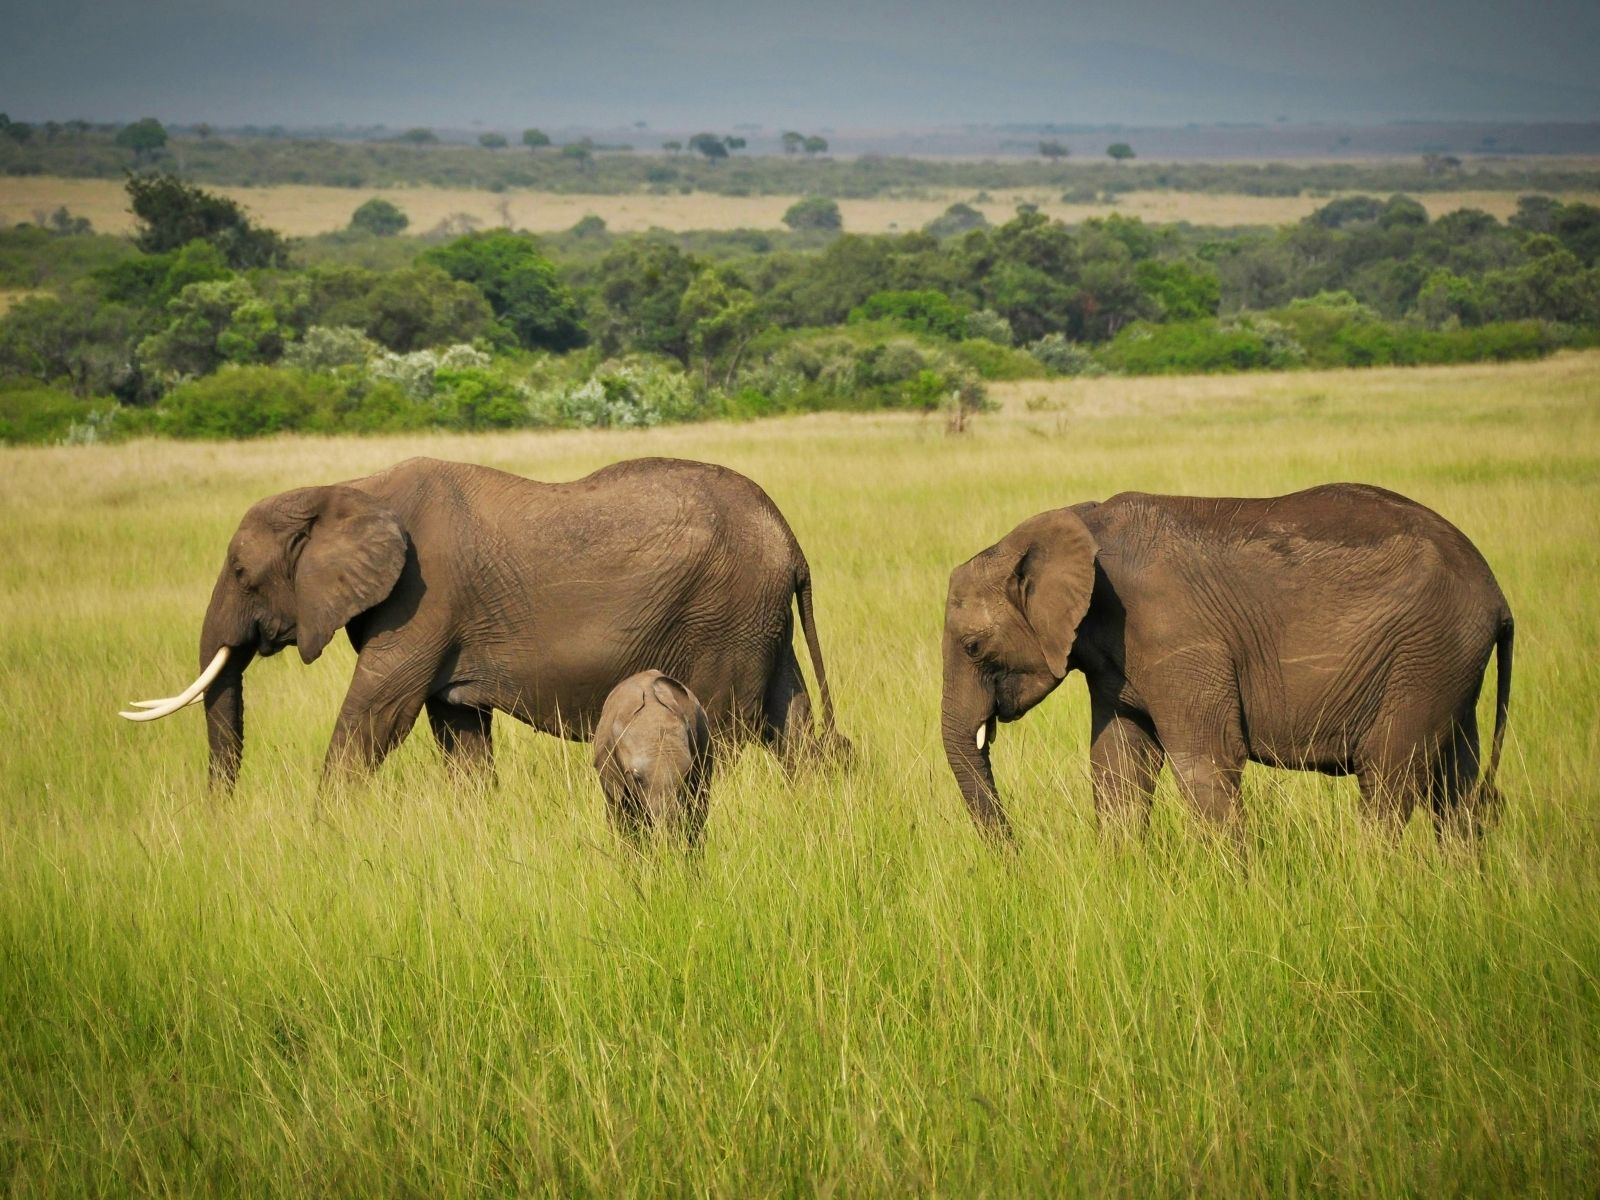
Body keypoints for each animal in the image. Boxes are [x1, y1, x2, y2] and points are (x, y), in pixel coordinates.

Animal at [121, 456, 841, 788]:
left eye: (243, 574)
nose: (220, 817)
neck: (348, 488)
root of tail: (792, 540)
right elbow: (458, 733)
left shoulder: (422, 602)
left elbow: (376, 717)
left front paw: (320, 832)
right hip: (756, 618)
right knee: (792, 723)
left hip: (724, 614)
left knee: (730, 729)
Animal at [941, 483, 1513, 841]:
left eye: (972, 648)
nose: (1017, 856)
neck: (1075, 524)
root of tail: (1498, 594)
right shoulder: (1113, 662)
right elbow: (1118, 766)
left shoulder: (1176, 635)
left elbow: (1205, 762)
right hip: (1447, 661)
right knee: (1456, 787)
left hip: (1425, 653)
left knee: (1390, 778)